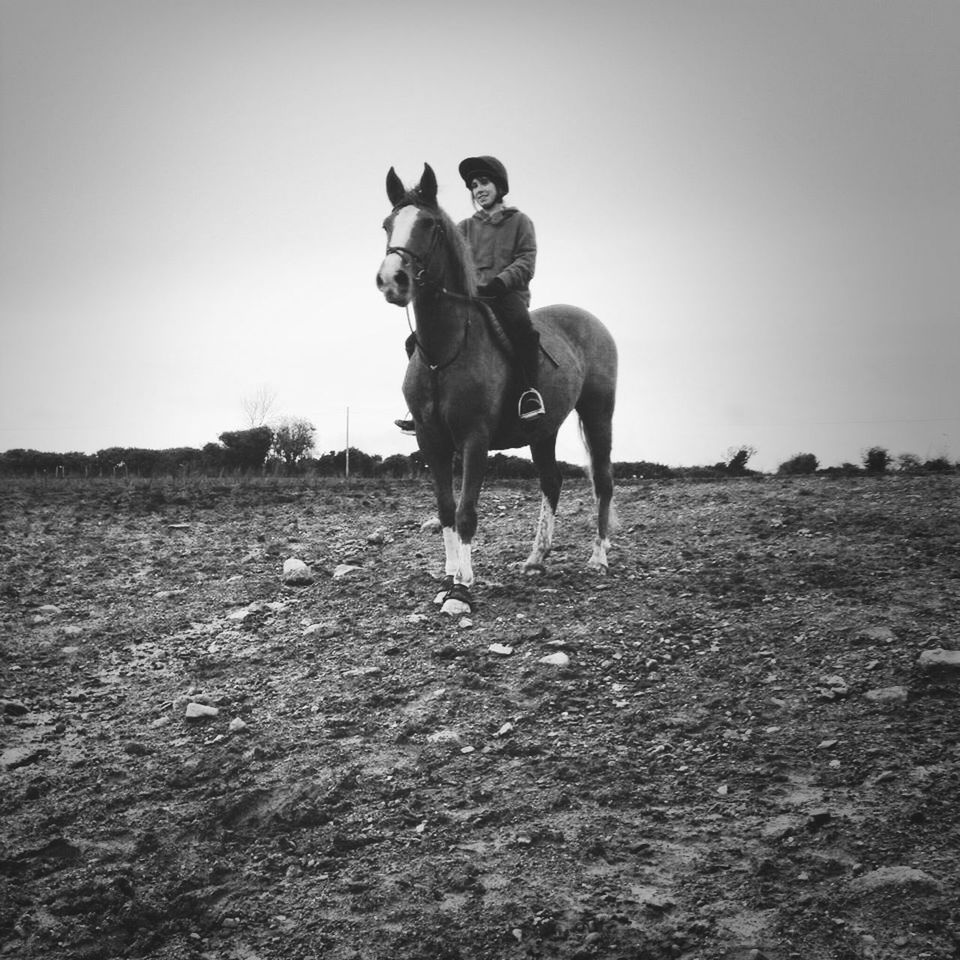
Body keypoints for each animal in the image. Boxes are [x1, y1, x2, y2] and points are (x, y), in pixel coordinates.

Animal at [376, 164, 616, 616]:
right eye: (387, 224)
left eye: (430, 225)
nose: (390, 280)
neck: (444, 351)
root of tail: (591, 321)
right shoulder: (430, 440)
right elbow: (446, 510)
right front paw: (448, 577)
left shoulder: (475, 438)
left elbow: (467, 512)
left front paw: (461, 589)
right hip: (544, 431)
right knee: (551, 481)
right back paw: (536, 559)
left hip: (598, 414)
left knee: (603, 481)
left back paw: (599, 557)